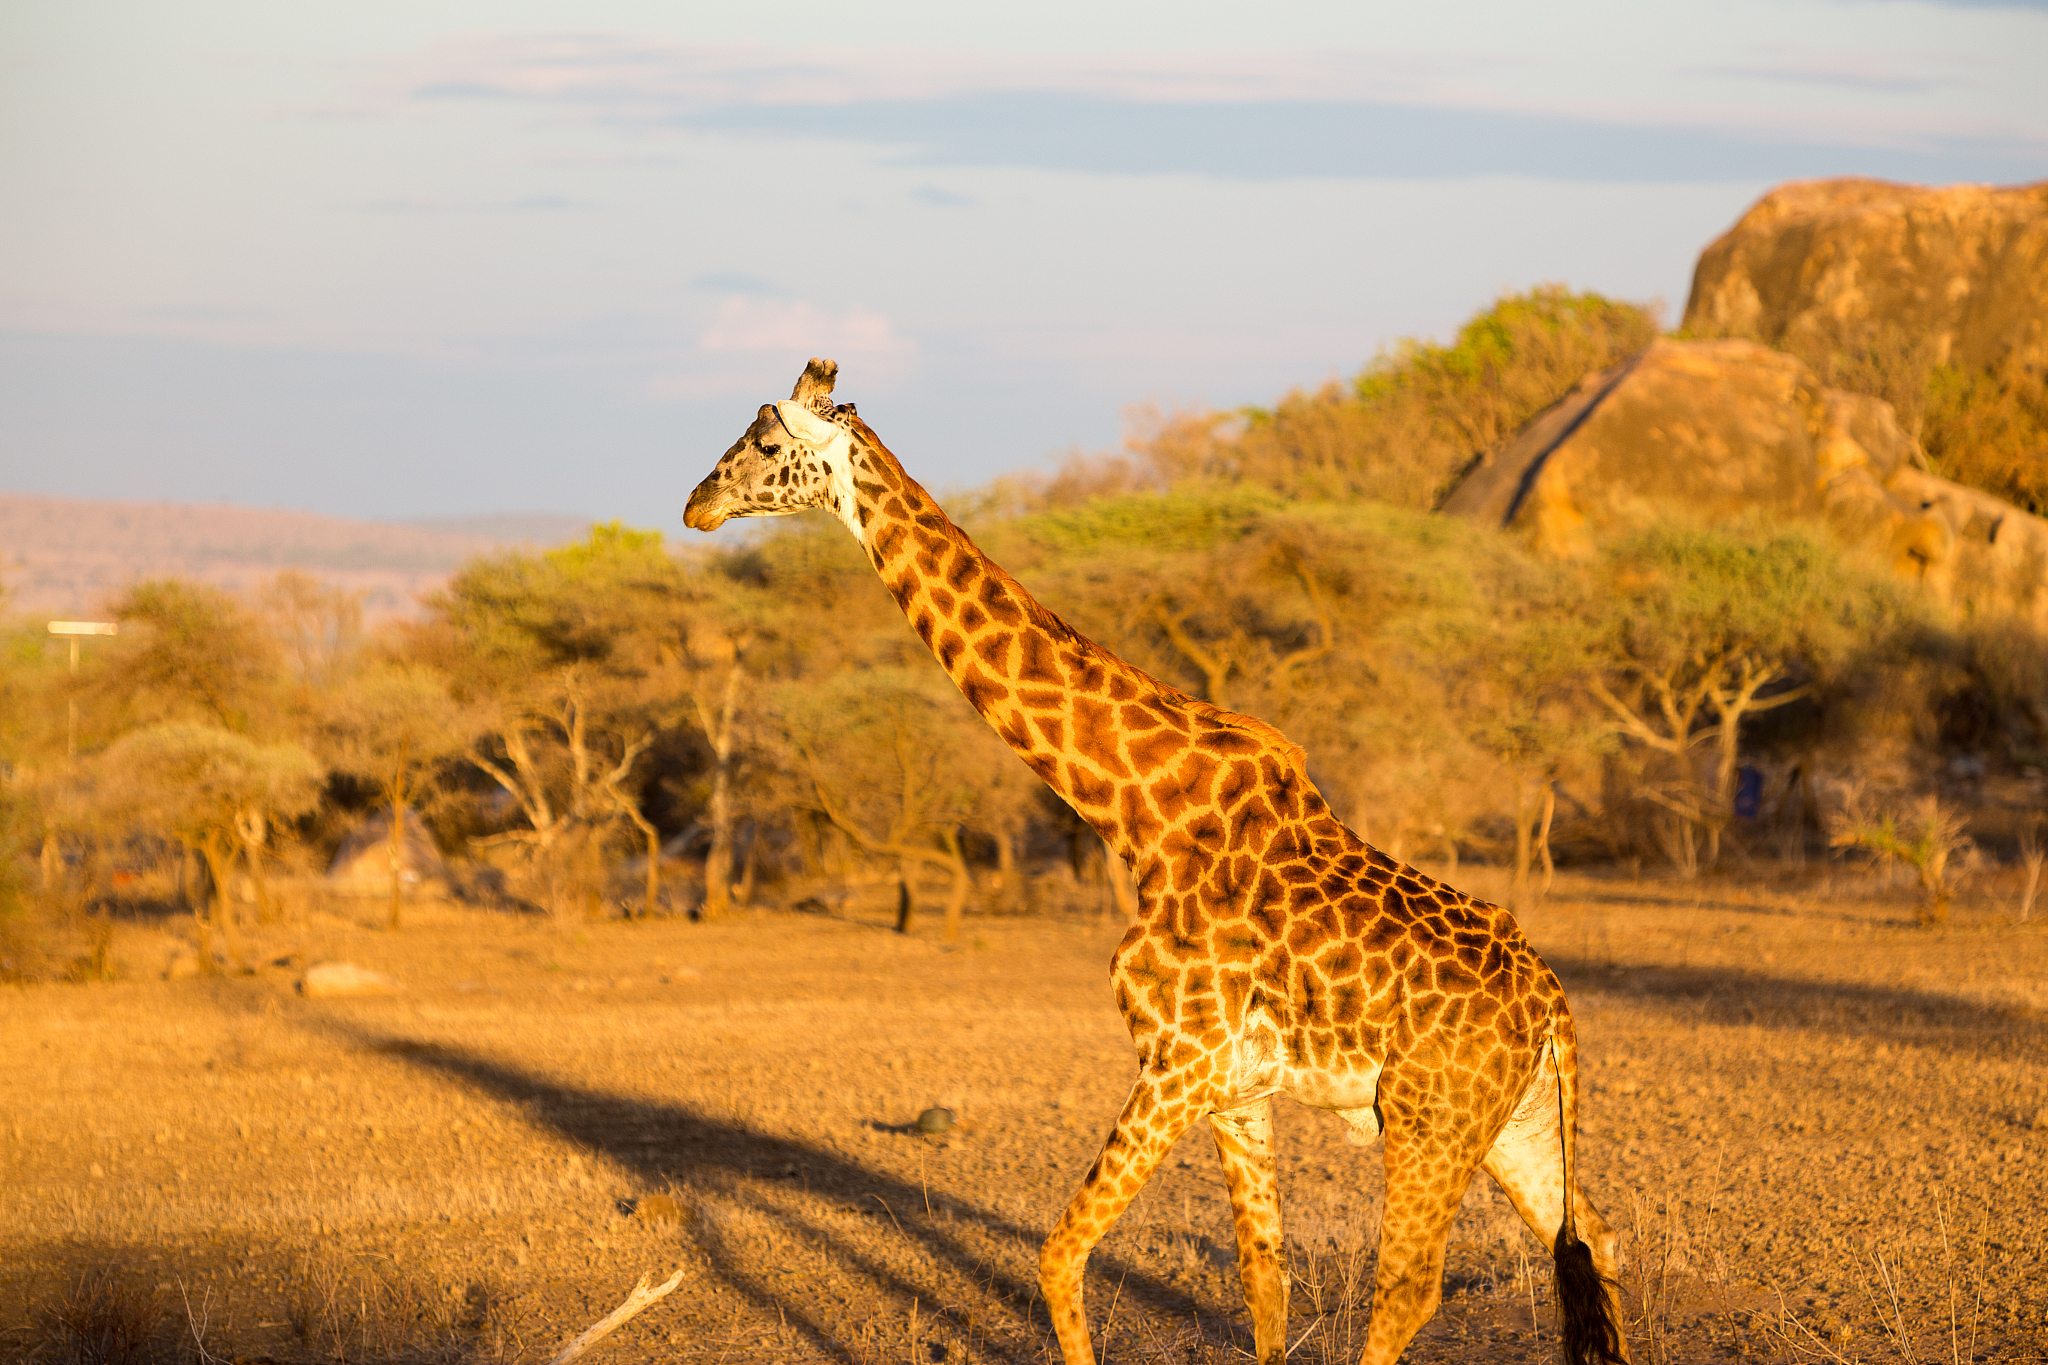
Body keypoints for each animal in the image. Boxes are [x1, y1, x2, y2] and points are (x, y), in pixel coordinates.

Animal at [683, 359, 1631, 1365]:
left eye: (766, 442)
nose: (697, 504)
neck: (1135, 810)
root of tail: (1551, 1003)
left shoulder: (1176, 1059)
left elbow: (1060, 1253)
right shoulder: (1232, 1089)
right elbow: (1264, 1280)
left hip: (1429, 1120)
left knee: (1410, 1288)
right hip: (1512, 1122)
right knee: (1595, 1238)